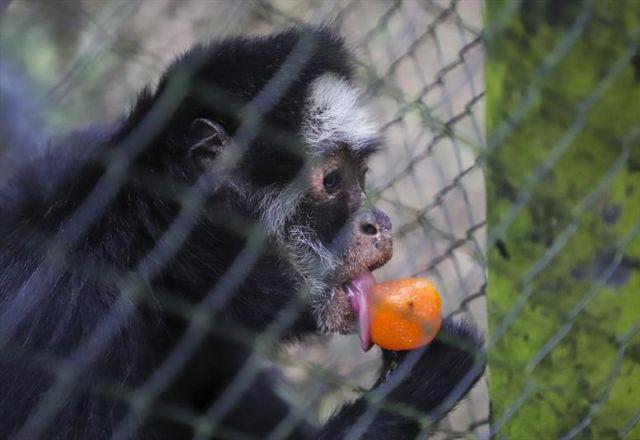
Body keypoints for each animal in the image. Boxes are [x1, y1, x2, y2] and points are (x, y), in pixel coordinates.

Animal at [0, 25, 482, 438]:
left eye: (361, 176)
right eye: (332, 181)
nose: (377, 222)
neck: (132, 246)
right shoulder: (66, 320)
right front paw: (419, 381)